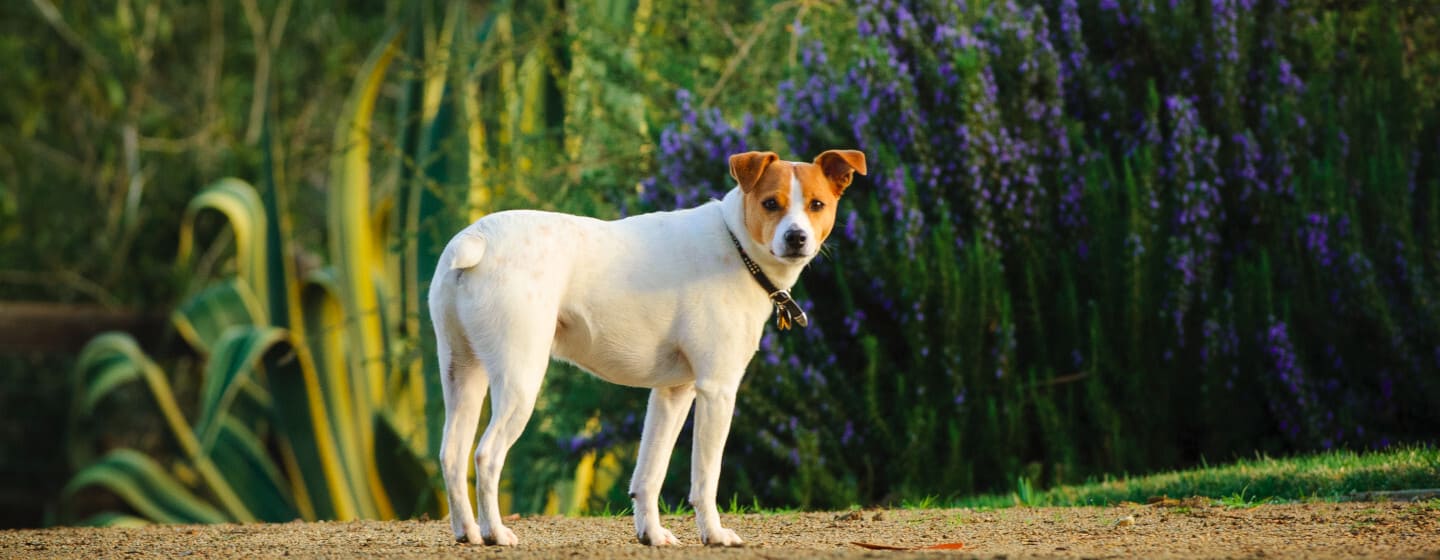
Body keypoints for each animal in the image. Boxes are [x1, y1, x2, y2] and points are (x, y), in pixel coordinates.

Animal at [426, 146, 864, 544]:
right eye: (771, 203)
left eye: (817, 204)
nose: (796, 237)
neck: (737, 246)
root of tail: (477, 239)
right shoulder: (717, 390)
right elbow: (706, 477)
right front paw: (714, 535)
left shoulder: (672, 393)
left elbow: (650, 473)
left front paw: (651, 534)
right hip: (520, 380)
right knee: (486, 456)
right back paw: (496, 533)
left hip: (462, 374)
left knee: (452, 454)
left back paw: (467, 532)